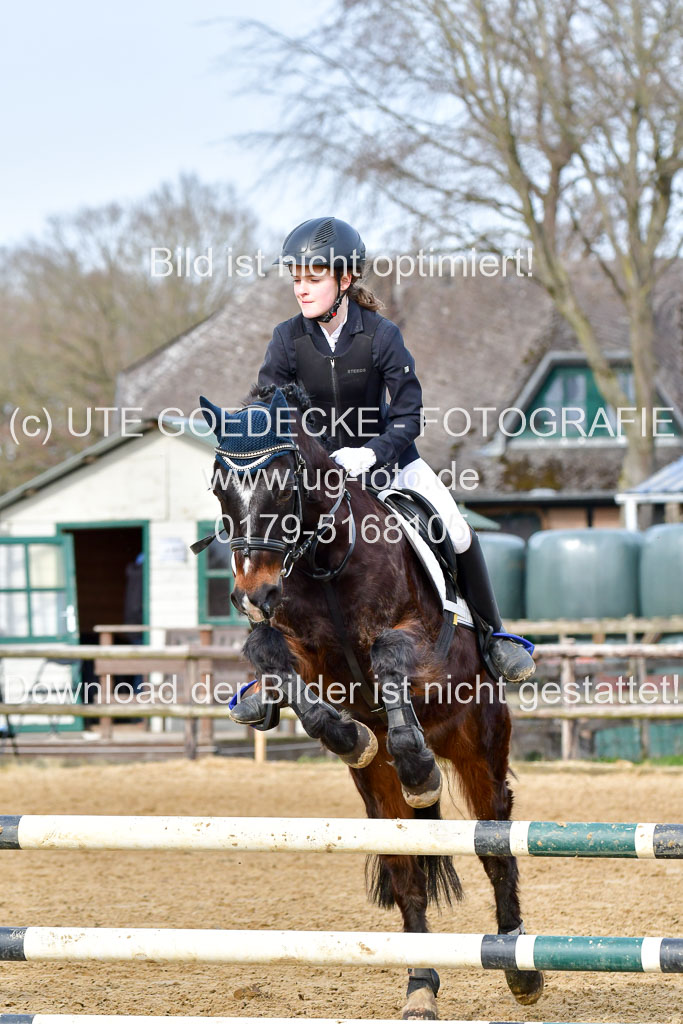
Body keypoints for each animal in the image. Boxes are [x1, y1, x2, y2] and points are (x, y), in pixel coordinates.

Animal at [198, 385, 544, 1024]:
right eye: (218, 488)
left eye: (283, 483)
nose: (252, 595)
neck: (324, 560)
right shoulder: (300, 652)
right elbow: (277, 665)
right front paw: (350, 736)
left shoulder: (419, 641)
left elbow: (386, 658)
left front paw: (420, 769)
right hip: (377, 796)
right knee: (406, 871)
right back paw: (420, 985)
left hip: (480, 742)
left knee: (496, 847)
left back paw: (519, 965)